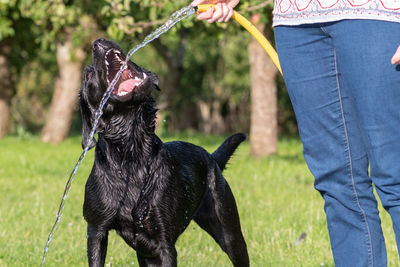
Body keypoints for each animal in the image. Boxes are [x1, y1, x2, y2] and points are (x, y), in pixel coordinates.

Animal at [79, 38, 248, 266]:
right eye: (88, 76)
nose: (97, 41)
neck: (132, 154)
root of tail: (212, 158)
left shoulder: (164, 244)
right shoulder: (96, 230)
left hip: (229, 231)